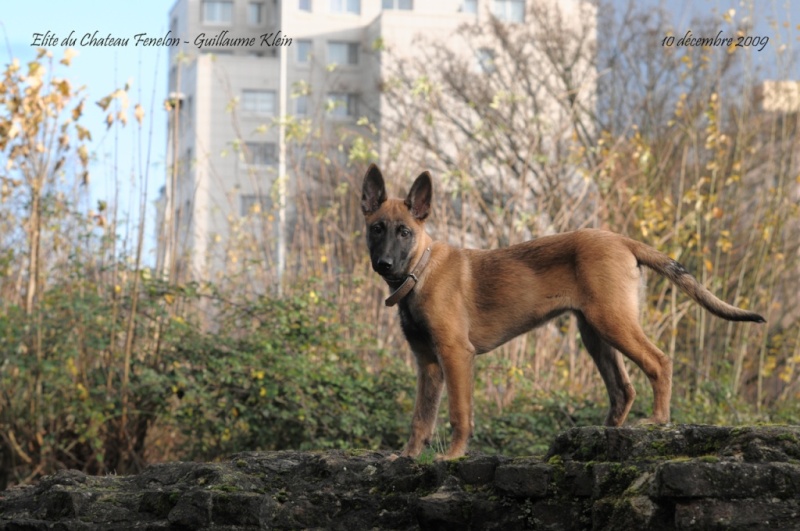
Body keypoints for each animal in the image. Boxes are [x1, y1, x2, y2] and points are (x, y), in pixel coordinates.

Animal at [360, 164, 764, 460]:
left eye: (404, 232)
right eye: (377, 229)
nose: (384, 264)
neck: (420, 270)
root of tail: (622, 239)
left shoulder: (455, 354)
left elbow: (460, 412)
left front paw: (454, 455)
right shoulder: (427, 362)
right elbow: (421, 417)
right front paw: (407, 456)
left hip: (612, 322)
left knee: (658, 362)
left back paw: (658, 421)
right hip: (595, 333)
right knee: (623, 389)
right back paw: (606, 433)